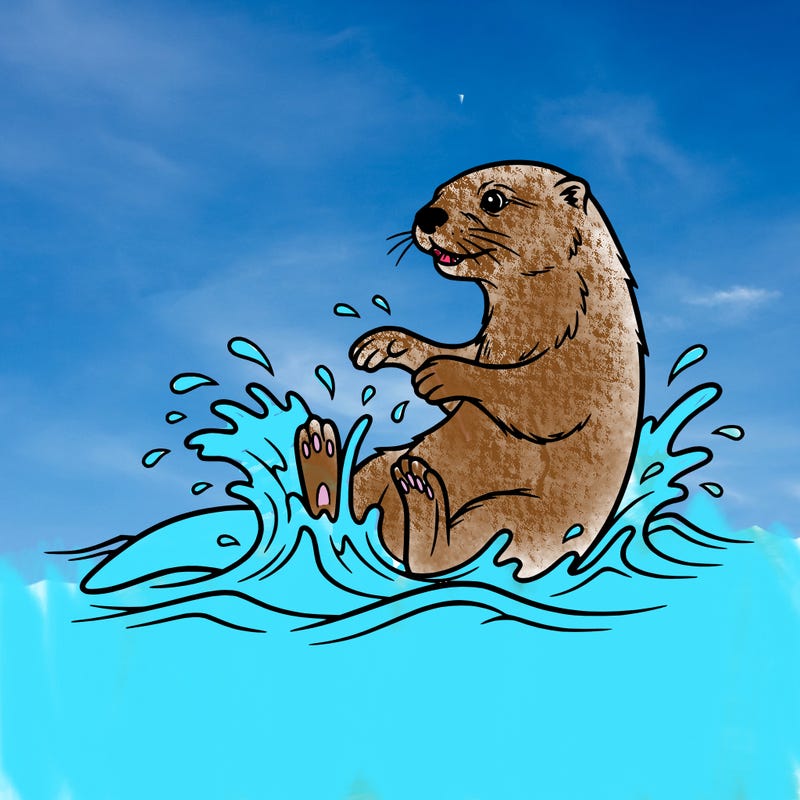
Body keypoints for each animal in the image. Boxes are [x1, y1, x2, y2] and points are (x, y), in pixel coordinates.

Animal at [296, 161, 645, 579]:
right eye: (437, 193)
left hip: (517, 512)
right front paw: (382, 344)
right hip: (377, 468)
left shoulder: (592, 354)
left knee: (448, 554)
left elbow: (542, 396)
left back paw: (419, 489)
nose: (426, 216)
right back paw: (320, 450)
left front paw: (441, 375)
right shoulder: (487, 343)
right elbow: (466, 357)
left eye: (493, 199)